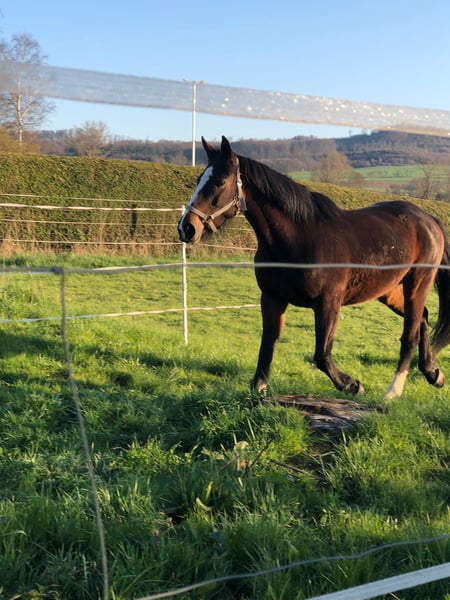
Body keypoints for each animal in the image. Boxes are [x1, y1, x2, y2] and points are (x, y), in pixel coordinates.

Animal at [178, 136, 450, 398]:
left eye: (220, 182)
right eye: (199, 179)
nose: (187, 228)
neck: (299, 238)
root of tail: (429, 220)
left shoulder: (328, 302)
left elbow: (321, 354)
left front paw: (352, 385)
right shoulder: (272, 298)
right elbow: (268, 344)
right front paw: (259, 388)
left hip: (417, 284)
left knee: (410, 334)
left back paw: (393, 391)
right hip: (389, 291)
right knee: (424, 318)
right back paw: (433, 374)